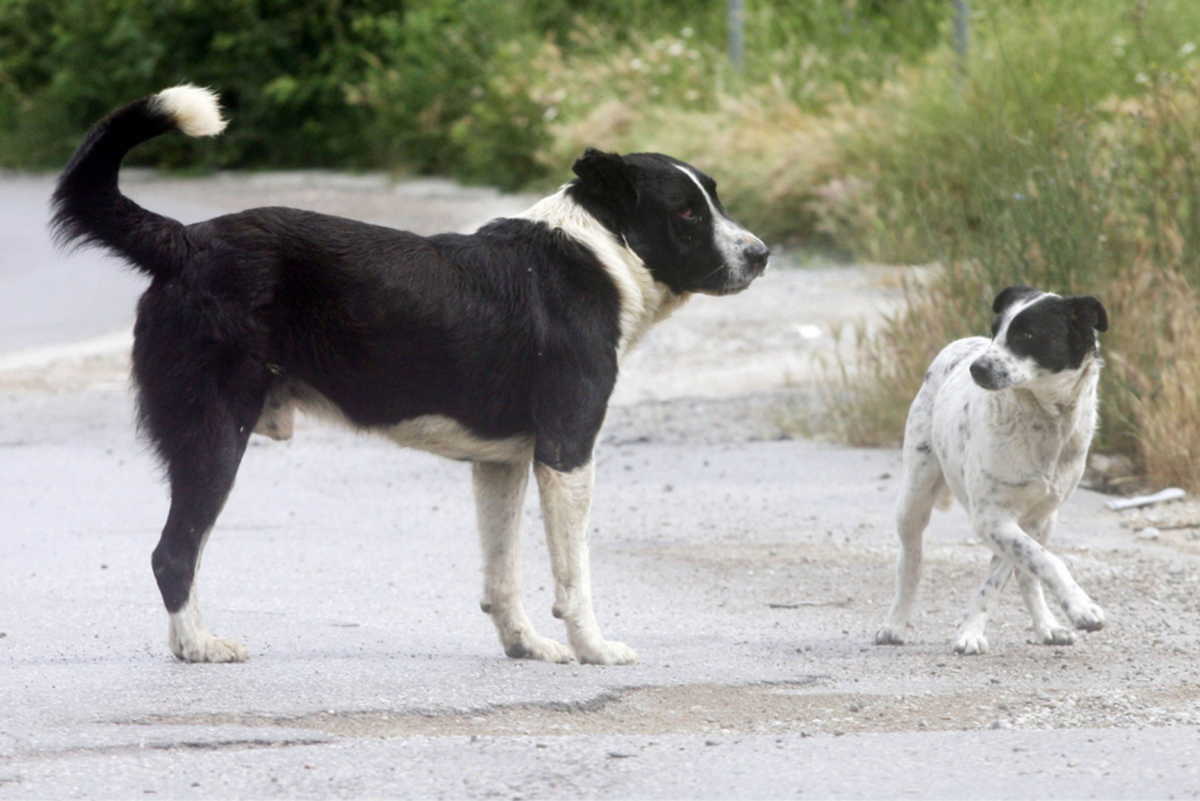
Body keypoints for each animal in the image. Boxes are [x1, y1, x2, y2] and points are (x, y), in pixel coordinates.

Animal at [49, 84, 768, 666]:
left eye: (714, 198)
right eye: (685, 213)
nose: (761, 254)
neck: (596, 251)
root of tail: (185, 241)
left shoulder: (502, 463)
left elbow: (503, 572)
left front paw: (526, 645)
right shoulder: (566, 454)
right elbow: (574, 577)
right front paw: (594, 649)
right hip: (215, 434)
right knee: (174, 552)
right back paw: (198, 645)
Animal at [878, 284, 1108, 652]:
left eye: (1027, 334)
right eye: (995, 330)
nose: (978, 368)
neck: (1043, 421)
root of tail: (961, 343)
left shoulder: (1028, 518)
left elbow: (1020, 566)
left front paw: (973, 629)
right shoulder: (990, 517)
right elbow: (1046, 560)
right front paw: (1081, 607)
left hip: (1045, 521)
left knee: (1025, 573)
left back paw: (1046, 626)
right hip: (914, 498)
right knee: (911, 563)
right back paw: (895, 624)